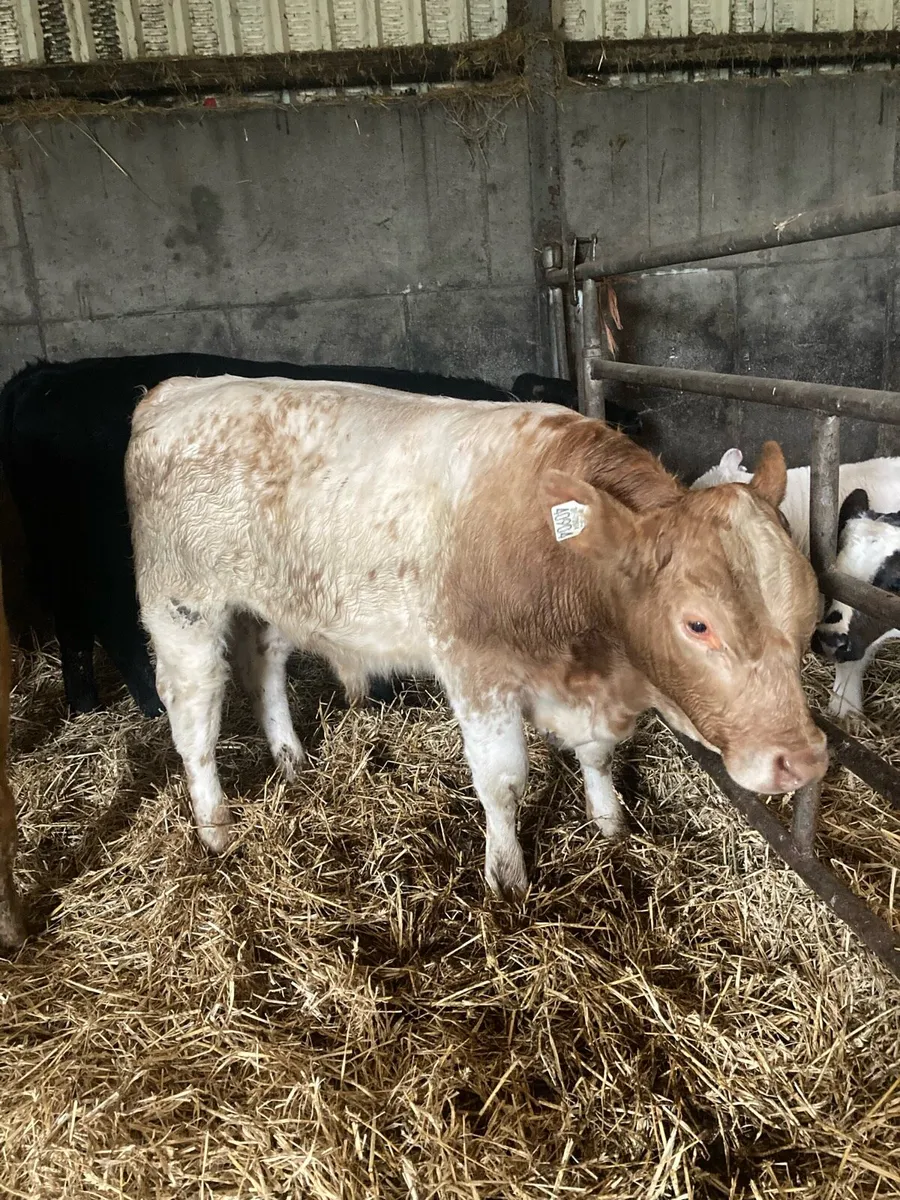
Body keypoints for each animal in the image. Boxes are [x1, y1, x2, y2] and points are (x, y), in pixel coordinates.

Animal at [0, 355, 642, 720]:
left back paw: (84, 705)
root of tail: (42, 379)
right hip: (123, 565)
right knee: (116, 631)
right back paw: (152, 708)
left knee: (74, 629)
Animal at [125, 376, 827, 897]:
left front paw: (610, 824)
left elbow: (598, 755)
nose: (802, 758)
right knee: (195, 716)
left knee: (263, 668)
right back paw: (215, 828)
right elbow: (502, 782)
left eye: (810, 607)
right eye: (697, 624)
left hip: (269, 605)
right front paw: (506, 878)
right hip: (181, 608)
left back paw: (292, 760)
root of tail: (175, 390)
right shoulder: (477, 670)